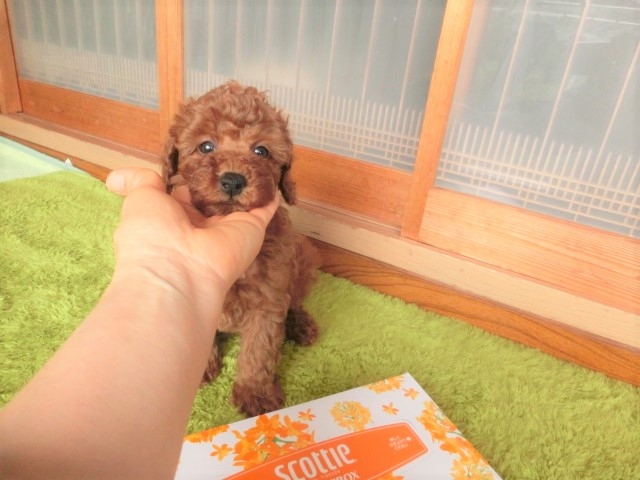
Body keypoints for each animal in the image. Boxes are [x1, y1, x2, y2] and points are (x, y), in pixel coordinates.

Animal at [161, 81, 320, 417]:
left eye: (261, 151)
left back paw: (300, 325)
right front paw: (201, 371)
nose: (233, 181)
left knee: (295, 301)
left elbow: (259, 351)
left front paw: (255, 393)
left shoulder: (268, 300)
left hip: (303, 259)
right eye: (206, 147)